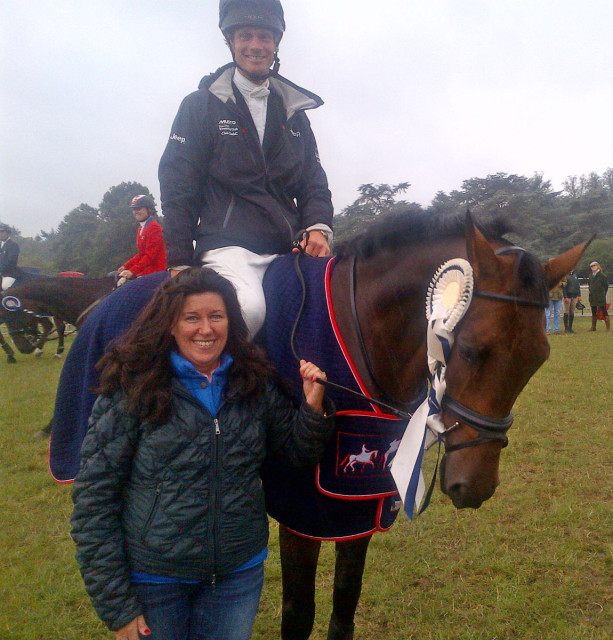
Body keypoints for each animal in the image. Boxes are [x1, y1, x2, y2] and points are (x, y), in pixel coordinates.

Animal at [49, 211, 588, 640]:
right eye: (473, 351)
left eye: (538, 359)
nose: (473, 487)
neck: (359, 330)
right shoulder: (301, 513)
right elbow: (298, 615)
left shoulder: (357, 508)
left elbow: (344, 607)